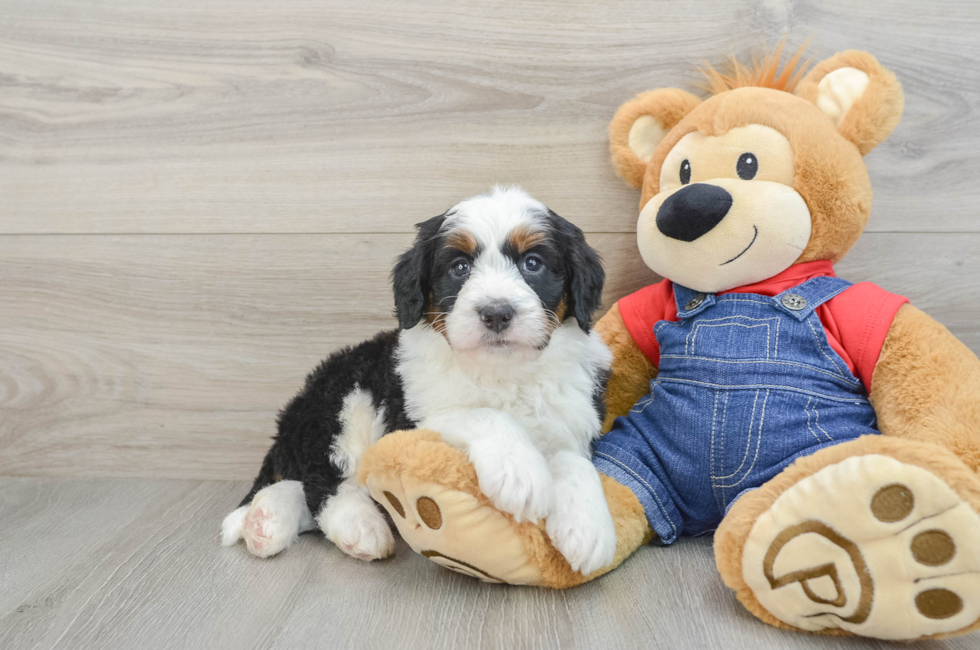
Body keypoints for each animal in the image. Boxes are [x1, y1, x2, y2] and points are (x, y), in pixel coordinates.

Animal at [226, 186, 616, 572]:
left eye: (532, 263)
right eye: (459, 267)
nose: (496, 313)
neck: (502, 372)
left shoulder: (573, 417)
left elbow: (572, 458)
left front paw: (588, 526)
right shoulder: (410, 417)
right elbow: (485, 415)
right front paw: (519, 472)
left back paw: (266, 520)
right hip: (345, 401)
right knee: (323, 481)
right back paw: (357, 526)